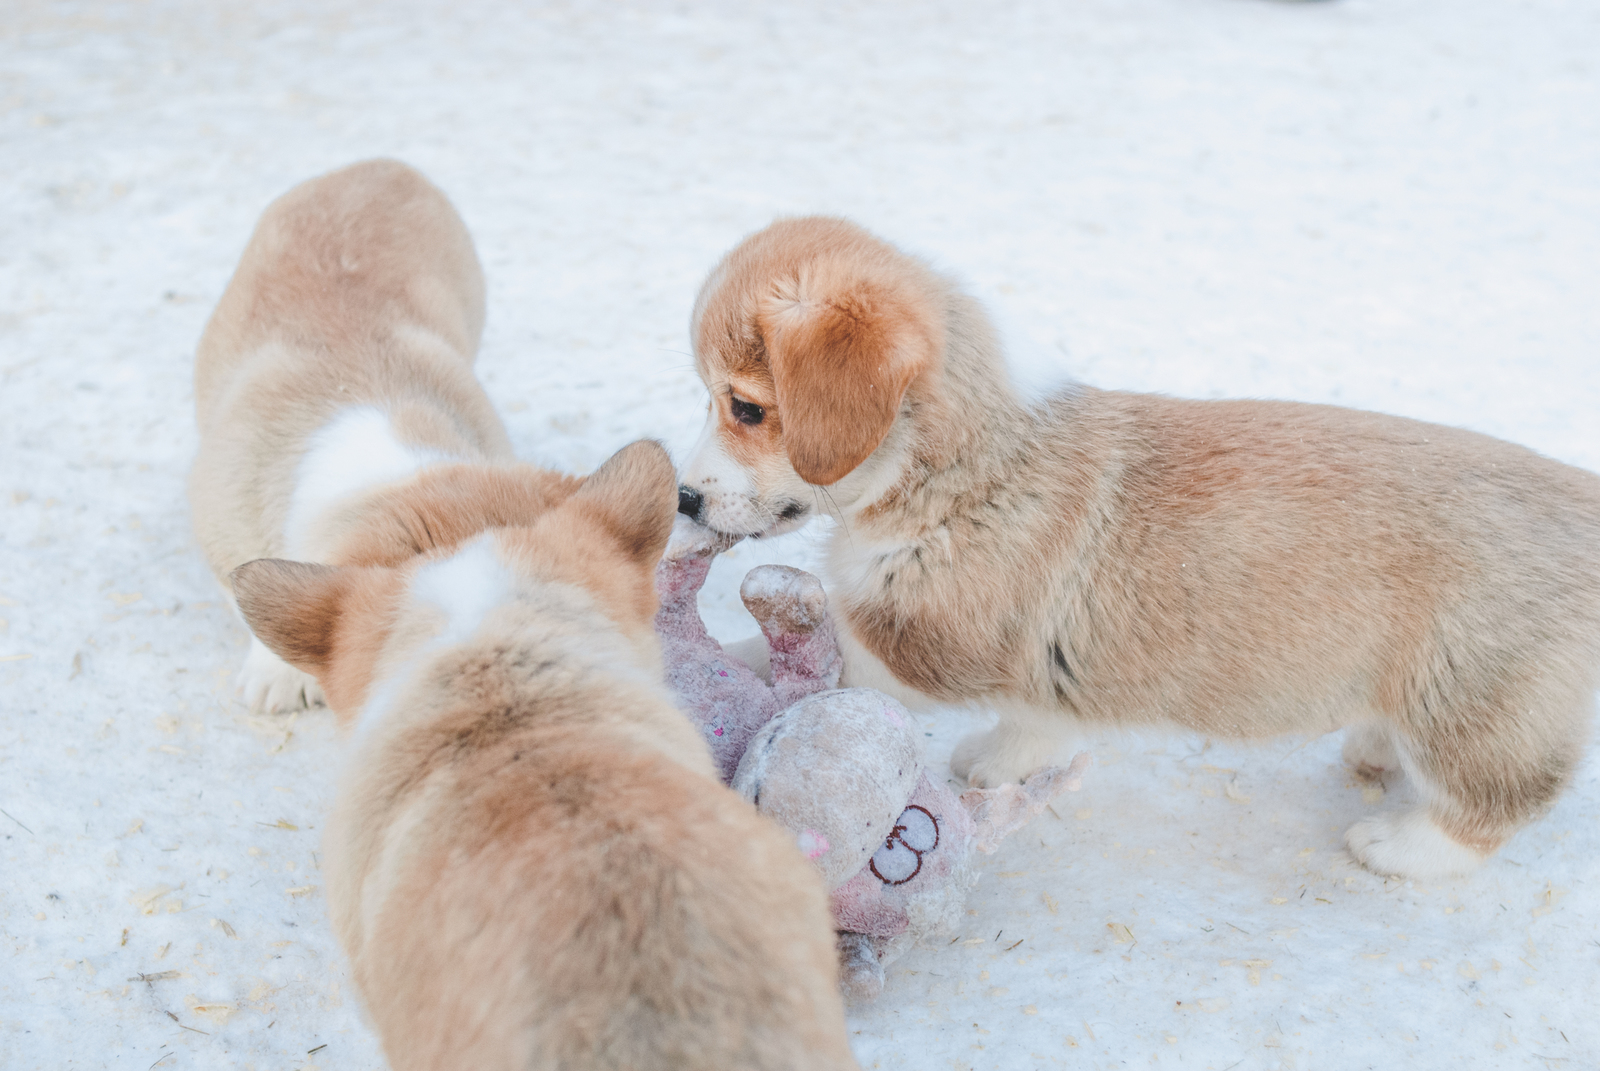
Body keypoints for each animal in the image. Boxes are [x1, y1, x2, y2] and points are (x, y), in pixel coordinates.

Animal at [672, 214, 1600, 877]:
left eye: (747, 407)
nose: (683, 496)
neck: (957, 461)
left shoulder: (922, 642)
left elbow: (808, 657)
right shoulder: (1031, 670)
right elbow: (1033, 726)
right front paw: (998, 763)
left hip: (1470, 699)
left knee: (1498, 802)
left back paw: (1397, 847)